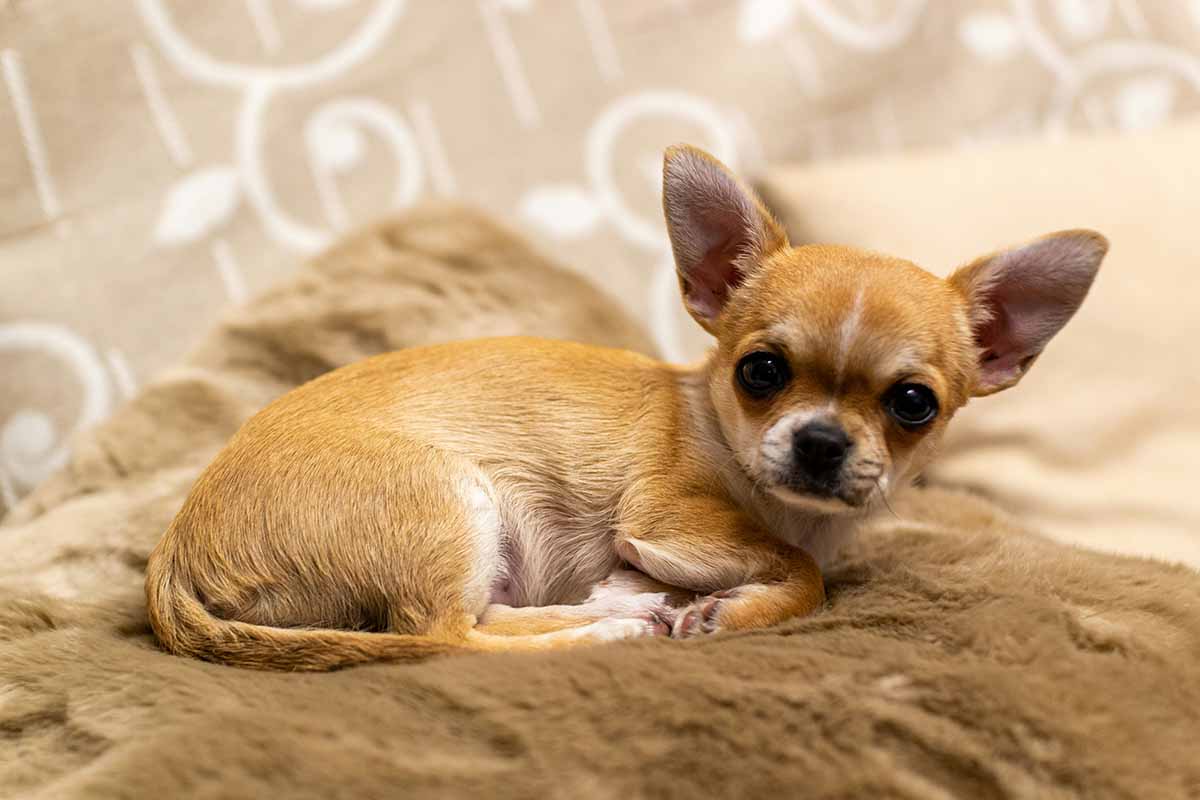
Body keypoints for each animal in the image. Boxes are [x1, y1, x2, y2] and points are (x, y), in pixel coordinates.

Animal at [147, 143, 1104, 671]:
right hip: (454, 500)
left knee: (482, 618)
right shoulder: (666, 516)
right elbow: (806, 573)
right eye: (761, 372)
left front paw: (681, 596)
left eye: (913, 404)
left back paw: (612, 611)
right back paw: (608, 633)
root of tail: (173, 557)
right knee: (445, 636)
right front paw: (733, 607)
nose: (823, 442)